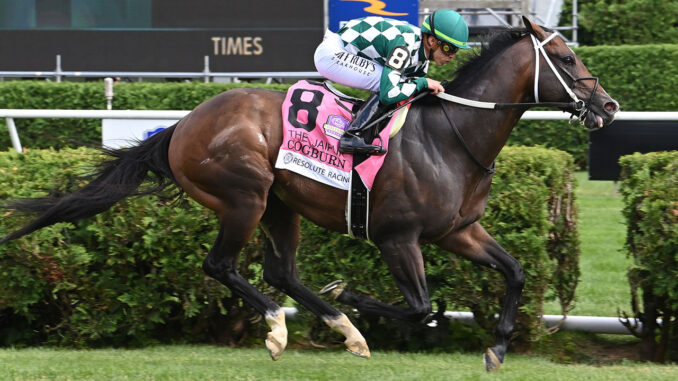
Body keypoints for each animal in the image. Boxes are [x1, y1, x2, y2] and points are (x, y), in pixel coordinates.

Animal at [0, 17, 620, 368]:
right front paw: (355, 296)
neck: (450, 137)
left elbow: (515, 272)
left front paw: (497, 347)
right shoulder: (397, 237)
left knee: (280, 270)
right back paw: (282, 325)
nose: (609, 106)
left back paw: (343, 331)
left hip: (281, 204)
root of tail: (182, 124)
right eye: (566, 59)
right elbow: (419, 308)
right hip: (244, 197)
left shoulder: (458, 231)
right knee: (222, 265)